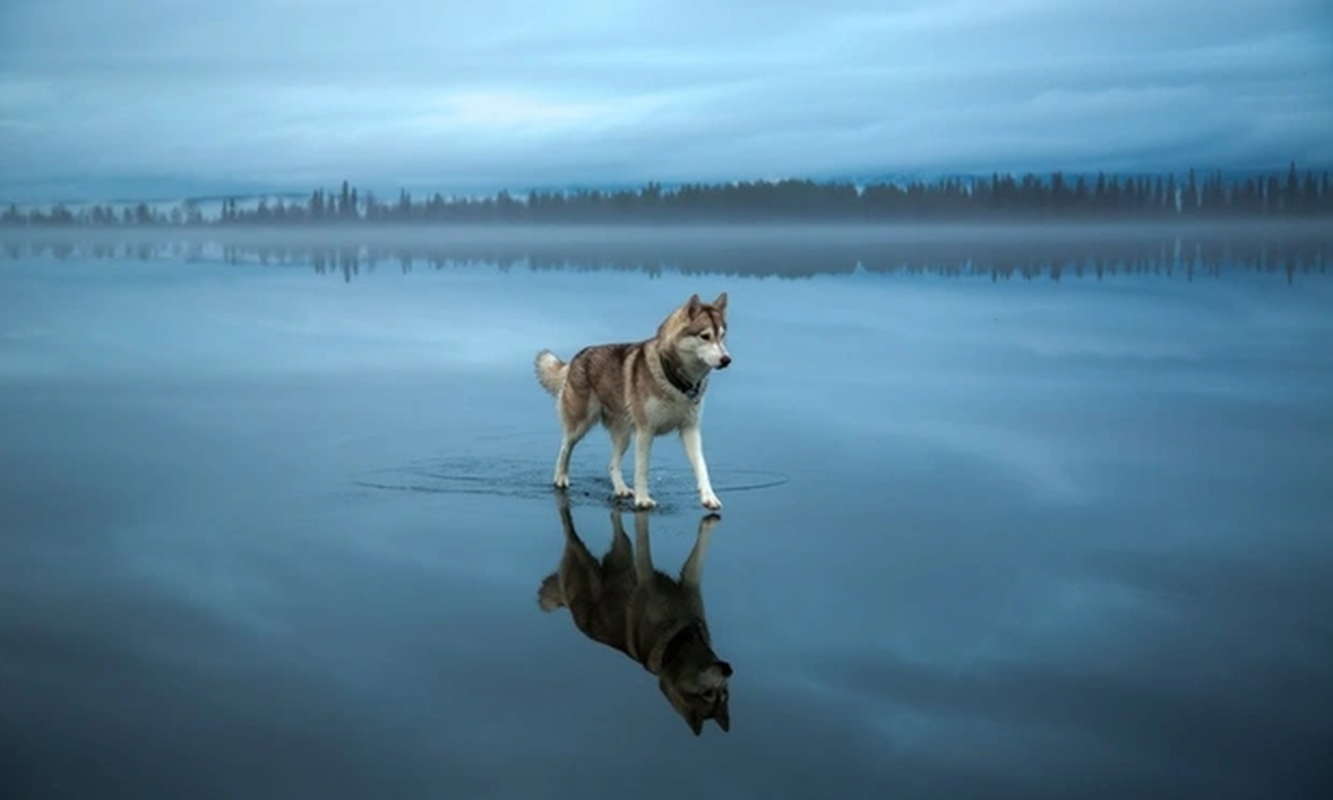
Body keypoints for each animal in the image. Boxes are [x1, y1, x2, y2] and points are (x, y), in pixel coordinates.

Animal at [535, 290, 735, 509]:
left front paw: (709, 497)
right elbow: (642, 469)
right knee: (564, 448)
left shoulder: (690, 429)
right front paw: (643, 500)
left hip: (623, 435)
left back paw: (621, 489)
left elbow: (701, 466)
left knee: (612, 464)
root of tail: (576, 358)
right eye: (705, 336)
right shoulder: (645, 432)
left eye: (722, 336)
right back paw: (560, 478)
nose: (727, 360)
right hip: (580, 425)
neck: (675, 379)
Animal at [535, 493, 735, 736]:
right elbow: (644, 549)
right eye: (708, 694)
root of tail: (568, 606)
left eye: (724, 695)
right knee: (569, 529)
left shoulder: (690, 585)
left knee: (618, 528)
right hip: (580, 556)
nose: (729, 670)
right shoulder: (646, 579)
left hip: (622, 552)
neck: (679, 639)